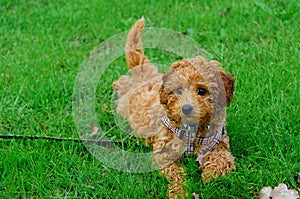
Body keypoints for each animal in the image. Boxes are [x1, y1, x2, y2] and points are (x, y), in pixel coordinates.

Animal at [113, 17, 236, 198]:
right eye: (178, 90)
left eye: (202, 91)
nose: (186, 108)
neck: (192, 131)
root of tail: (144, 72)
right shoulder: (163, 152)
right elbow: (175, 172)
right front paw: (179, 191)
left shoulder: (218, 143)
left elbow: (222, 160)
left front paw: (209, 177)